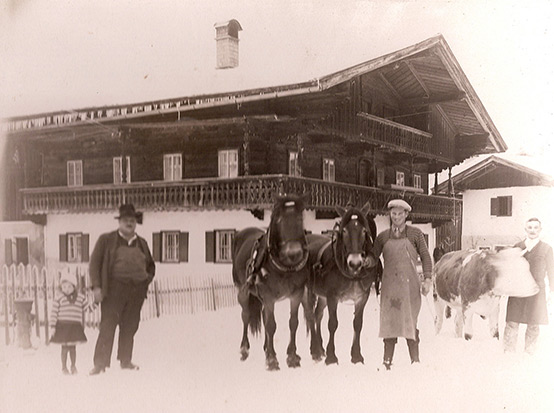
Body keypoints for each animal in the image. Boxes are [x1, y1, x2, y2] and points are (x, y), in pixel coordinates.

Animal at [232, 194, 310, 370]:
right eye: (279, 219)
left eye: (300, 218)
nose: (294, 252)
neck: (286, 268)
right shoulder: (268, 297)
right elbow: (271, 325)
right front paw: (272, 359)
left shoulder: (296, 294)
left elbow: (293, 323)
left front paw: (292, 356)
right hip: (243, 292)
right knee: (246, 316)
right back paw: (244, 349)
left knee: (263, 315)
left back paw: (266, 348)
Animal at [304, 202, 382, 364]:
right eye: (344, 230)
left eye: (364, 230)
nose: (355, 263)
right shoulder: (332, 296)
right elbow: (333, 324)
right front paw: (331, 356)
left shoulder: (361, 297)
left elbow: (357, 324)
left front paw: (356, 355)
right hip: (308, 291)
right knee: (310, 315)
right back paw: (315, 350)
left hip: (322, 295)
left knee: (317, 314)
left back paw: (320, 347)